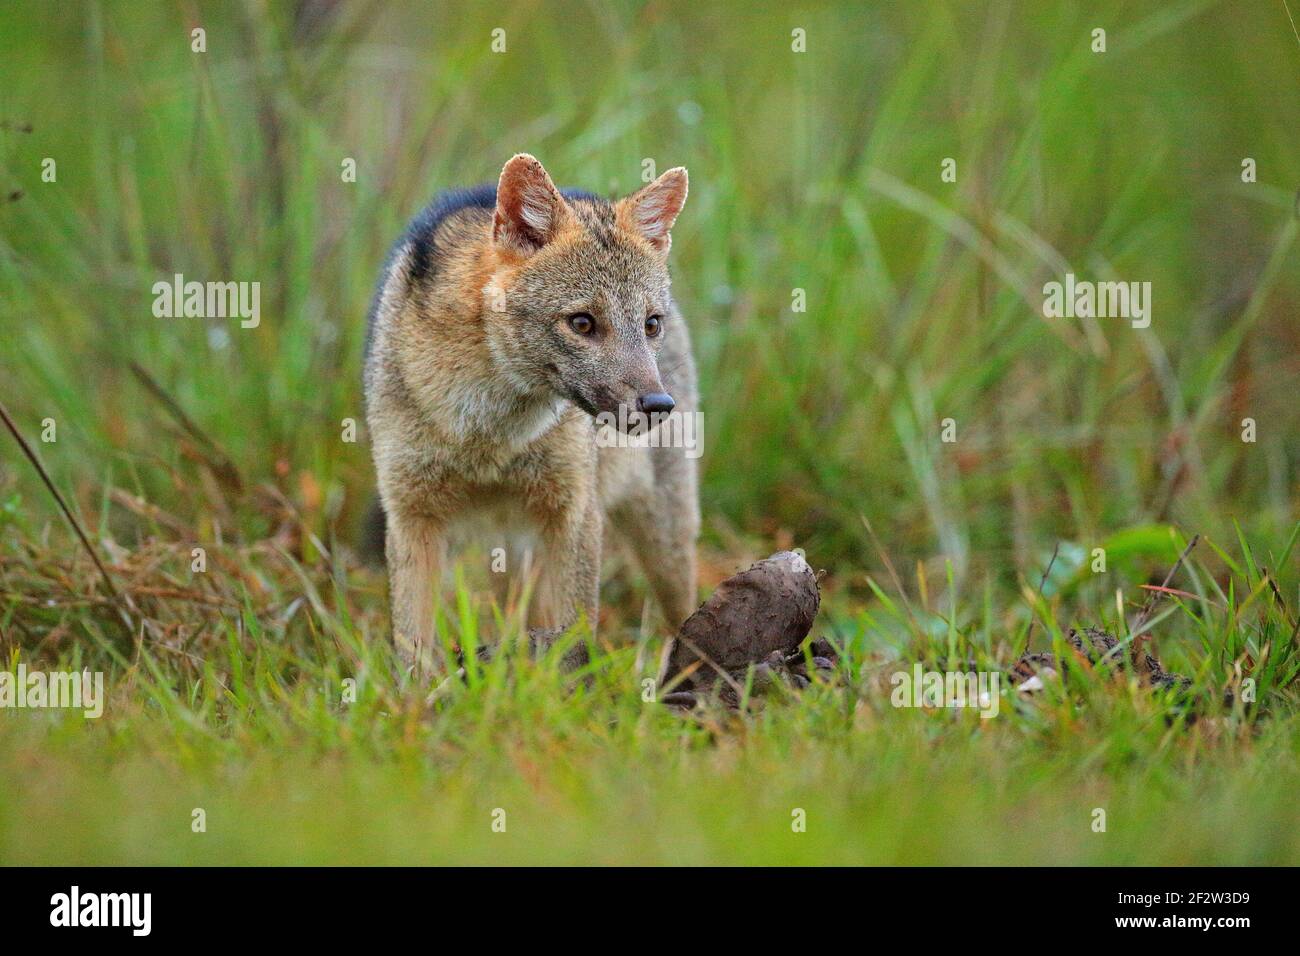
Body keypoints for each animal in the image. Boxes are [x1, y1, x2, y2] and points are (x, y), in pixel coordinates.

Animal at [361, 155, 702, 671]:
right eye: (582, 323)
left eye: (649, 325)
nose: (659, 406)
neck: (487, 434)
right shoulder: (410, 513)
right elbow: (413, 650)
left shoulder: (575, 512)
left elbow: (576, 639)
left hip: (662, 537)